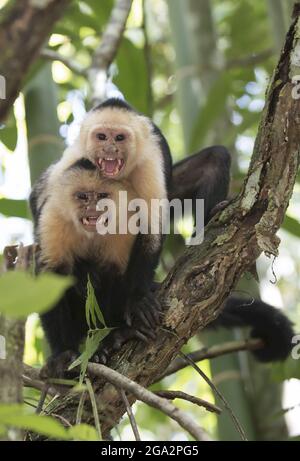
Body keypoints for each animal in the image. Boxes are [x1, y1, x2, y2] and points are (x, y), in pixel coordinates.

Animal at [29, 99, 292, 376]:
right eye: (101, 136)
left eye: (119, 138)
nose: (110, 147)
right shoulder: (75, 159)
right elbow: (39, 204)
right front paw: (62, 353)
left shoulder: (149, 161)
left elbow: (151, 229)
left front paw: (138, 301)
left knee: (215, 158)